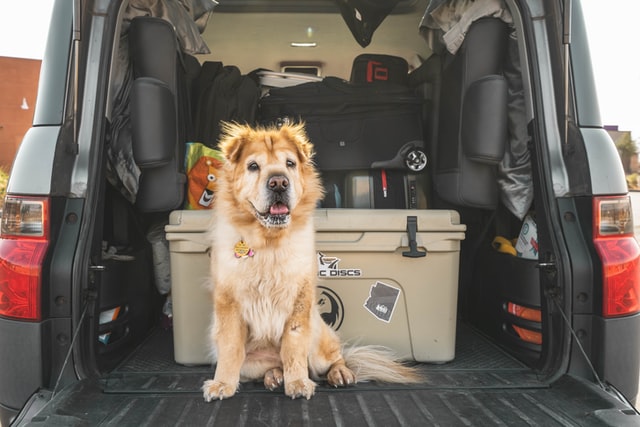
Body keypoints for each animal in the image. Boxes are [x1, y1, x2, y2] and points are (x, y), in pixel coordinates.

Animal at [200, 123, 420, 402]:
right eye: (253, 166)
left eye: (290, 163)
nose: (279, 182)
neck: (269, 243)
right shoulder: (229, 303)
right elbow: (230, 349)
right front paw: (222, 384)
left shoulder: (299, 301)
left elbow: (293, 348)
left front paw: (298, 383)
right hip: (252, 360)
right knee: (270, 365)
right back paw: (274, 377)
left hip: (318, 337)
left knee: (335, 357)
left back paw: (339, 374)